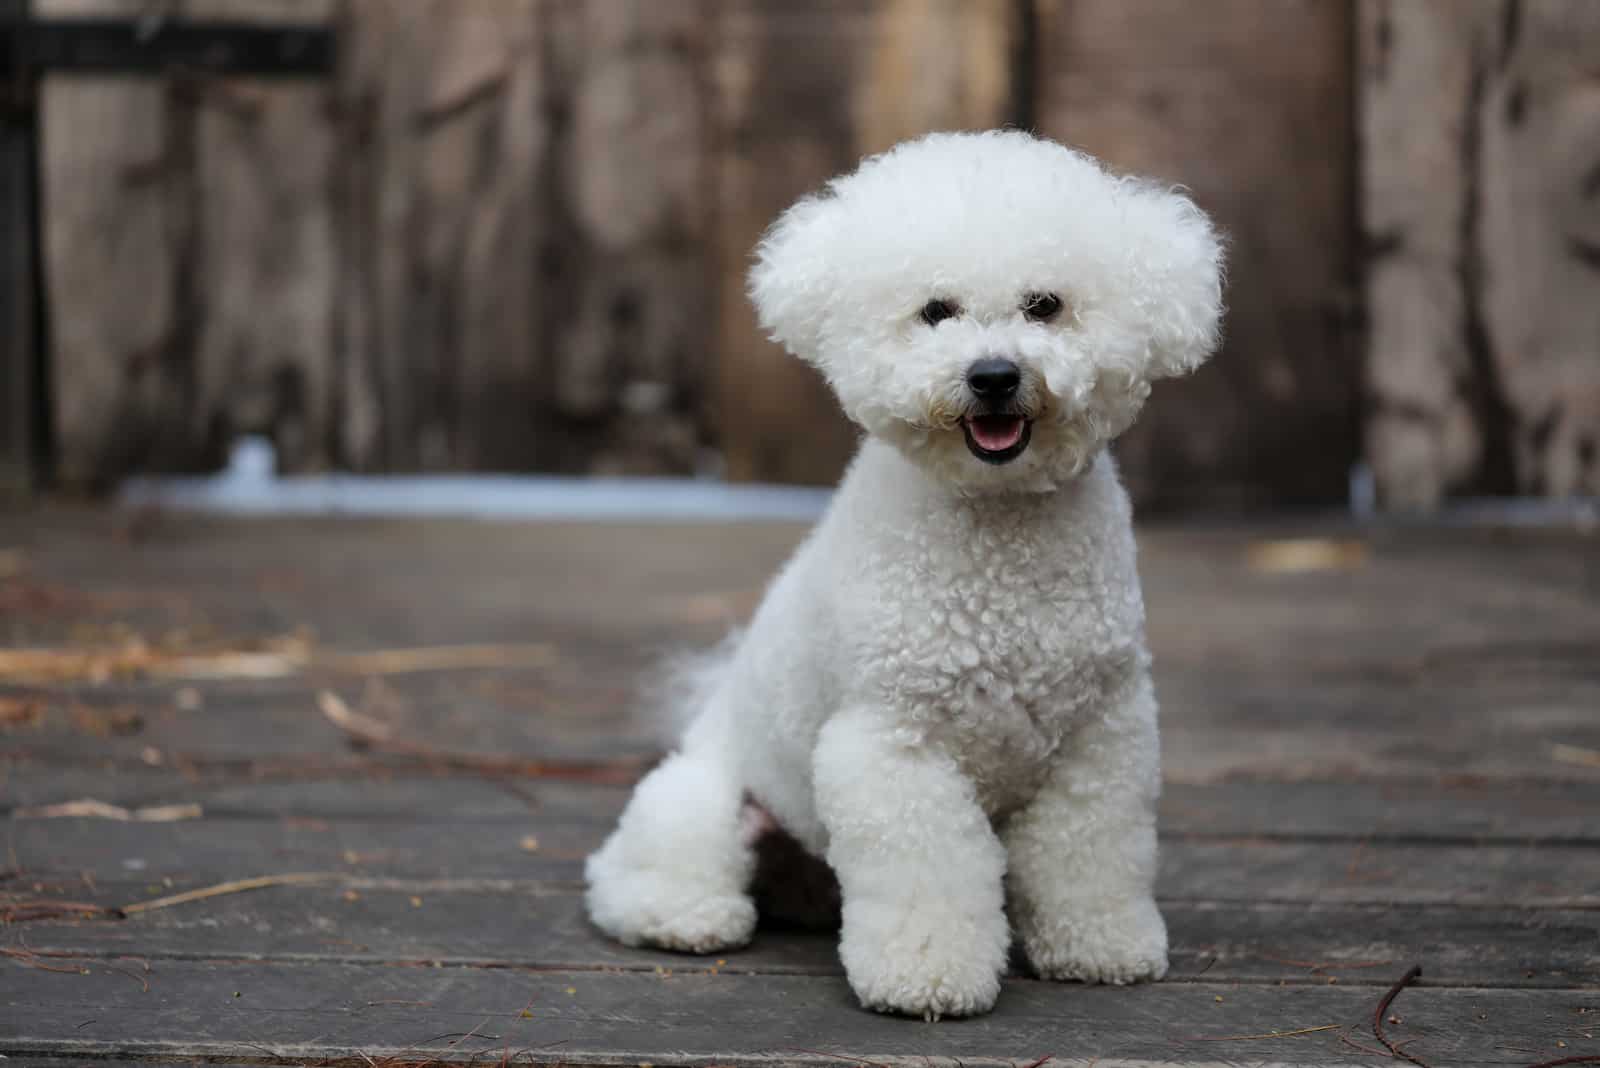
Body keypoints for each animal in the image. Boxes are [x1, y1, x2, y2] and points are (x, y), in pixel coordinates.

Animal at [588, 127, 1222, 1016]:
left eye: (1045, 305)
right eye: (935, 311)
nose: (993, 375)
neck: (996, 533)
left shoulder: (1102, 737)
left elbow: (1089, 853)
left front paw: (1101, 947)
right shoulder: (893, 745)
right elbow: (929, 874)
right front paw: (927, 976)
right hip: (704, 797)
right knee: (642, 864)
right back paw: (686, 915)